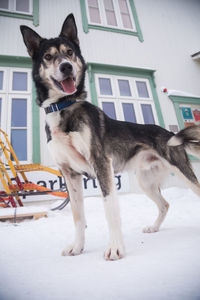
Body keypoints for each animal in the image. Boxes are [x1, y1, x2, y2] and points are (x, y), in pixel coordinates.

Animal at [20, 14, 200, 260]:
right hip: (146, 182)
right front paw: (77, 247)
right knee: (164, 204)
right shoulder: (70, 174)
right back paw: (154, 227)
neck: (64, 107)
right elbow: (78, 216)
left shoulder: (101, 164)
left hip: (182, 172)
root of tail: (169, 132)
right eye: (48, 56)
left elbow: (110, 210)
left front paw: (115, 248)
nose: (66, 67)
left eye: (69, 52)